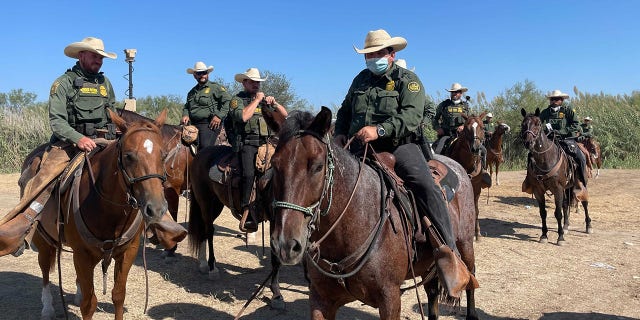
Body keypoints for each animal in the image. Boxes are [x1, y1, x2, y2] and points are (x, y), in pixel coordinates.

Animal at [29, 109, 170, 318]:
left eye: (163, 155)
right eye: (128, 156)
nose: (156, 209)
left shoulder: (127, 253)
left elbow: (118, 295)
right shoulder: (83, 255)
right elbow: (89, 304)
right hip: (43, 239)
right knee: (45, 268)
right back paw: (47, 308)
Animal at [268, 108, 478, 320]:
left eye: (318, 166)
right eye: (274, 165)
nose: (286, 245)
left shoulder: (390, 299)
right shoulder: (320, 298)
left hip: (465, 244)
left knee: (470, 275)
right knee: (432, 291)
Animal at [444, 112, 490, 240]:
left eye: (482, 127)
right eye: (466, 128)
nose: (475, 148)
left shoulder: (477, 186)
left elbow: (475, 209)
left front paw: (477, 233)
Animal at [516, 107, 592, 245]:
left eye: (538, 124)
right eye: (523, 124)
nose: (528, 142)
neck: (545, 159)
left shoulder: (557, 188)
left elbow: (557, 213)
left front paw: (560, 237)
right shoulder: (538, 190)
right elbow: (543, 213)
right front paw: (544, 235)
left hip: (580, 183)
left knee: (584, 202)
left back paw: (588, 226)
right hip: (567, 187)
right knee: (566, 204)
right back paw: (566, 226)